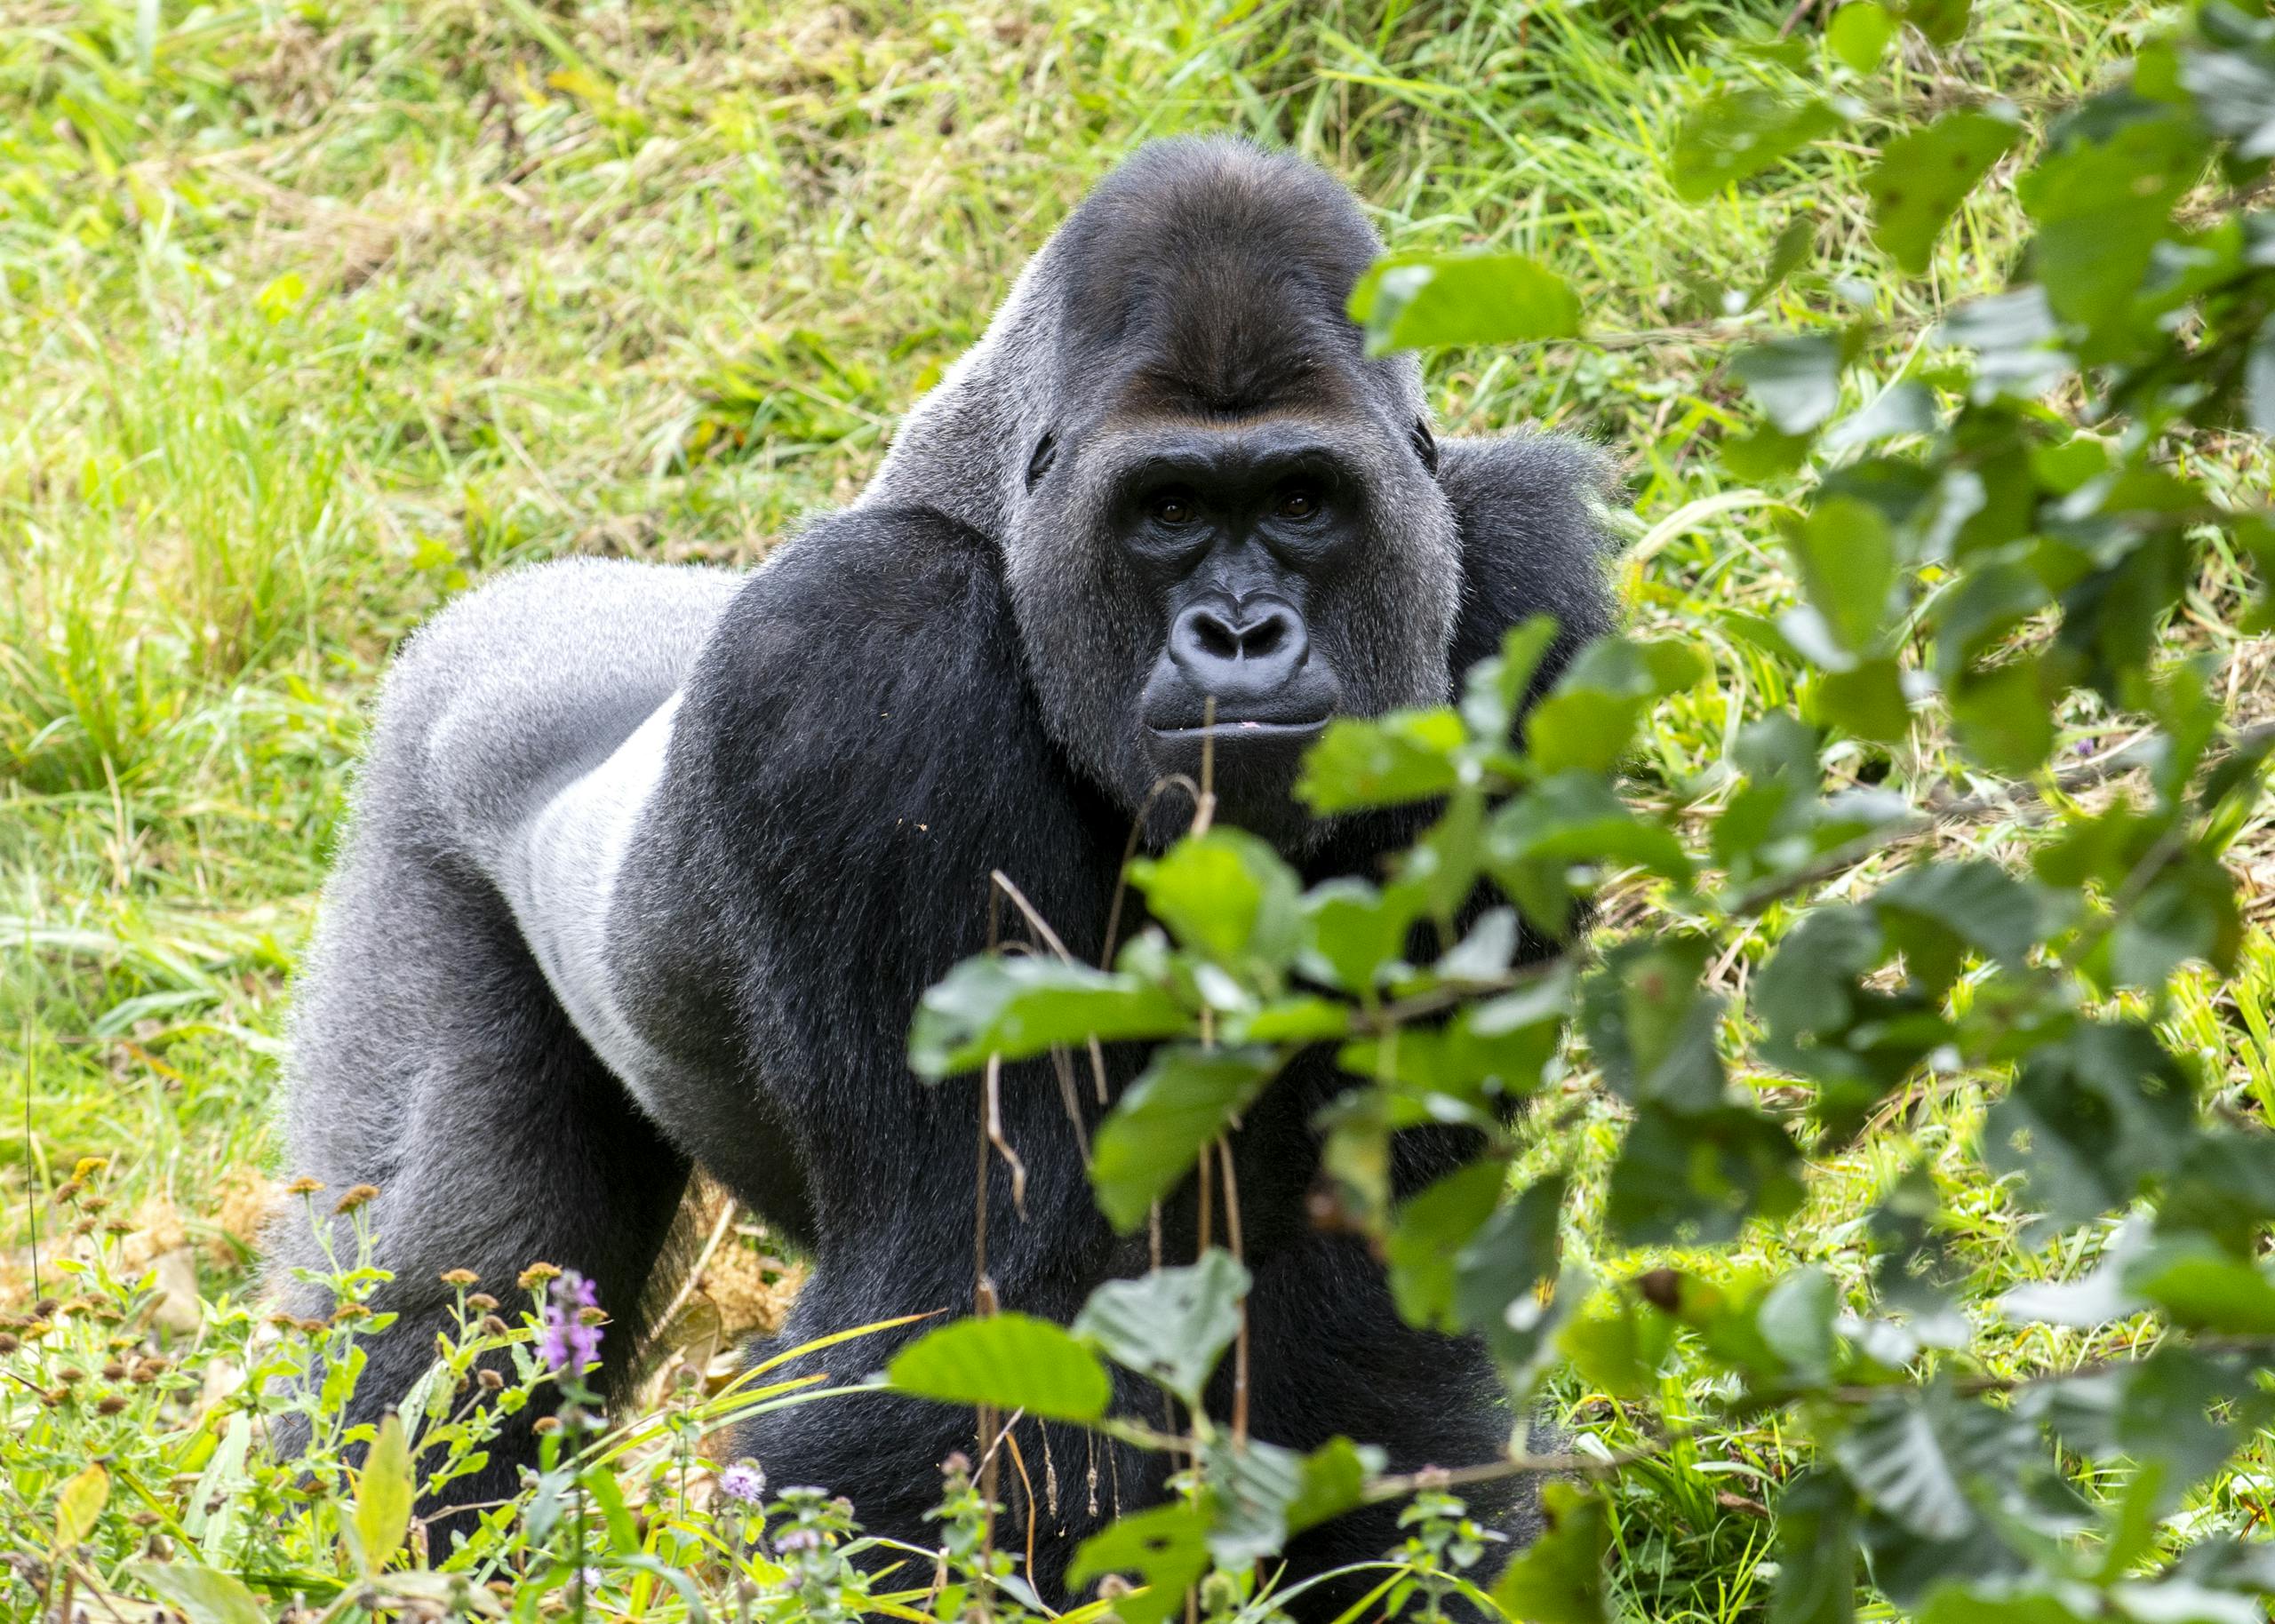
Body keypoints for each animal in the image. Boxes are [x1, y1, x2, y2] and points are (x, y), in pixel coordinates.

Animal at [270, 142, 1619, 1610]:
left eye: (1303, 500)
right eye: (1169, 510)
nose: (1241, 633)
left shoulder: (1521, 605)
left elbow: (1368, 1296)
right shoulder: (866, 649)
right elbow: (959, 1311)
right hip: (421, 786)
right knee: (436, 1305)